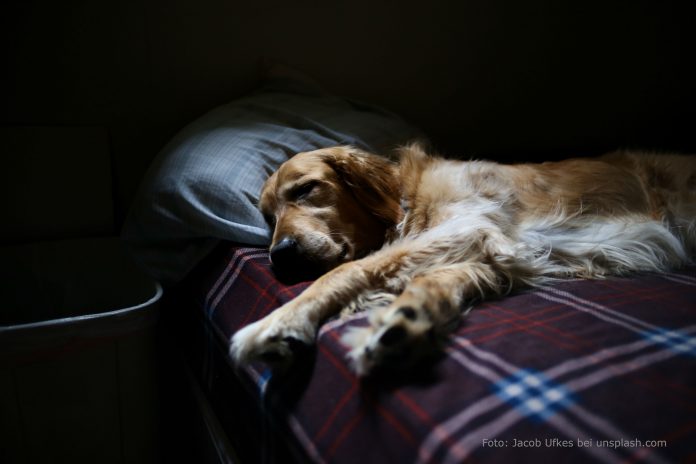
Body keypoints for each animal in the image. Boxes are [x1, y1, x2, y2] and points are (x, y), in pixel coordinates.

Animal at [230, 143, 696, 376]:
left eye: (306, 189)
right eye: (267, 217)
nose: (279, 257)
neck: (408, 200)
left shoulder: (471, 225)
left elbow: (349, 269)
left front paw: (278, 323)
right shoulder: (493, 254)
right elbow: (432, 281)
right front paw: (407, 320)